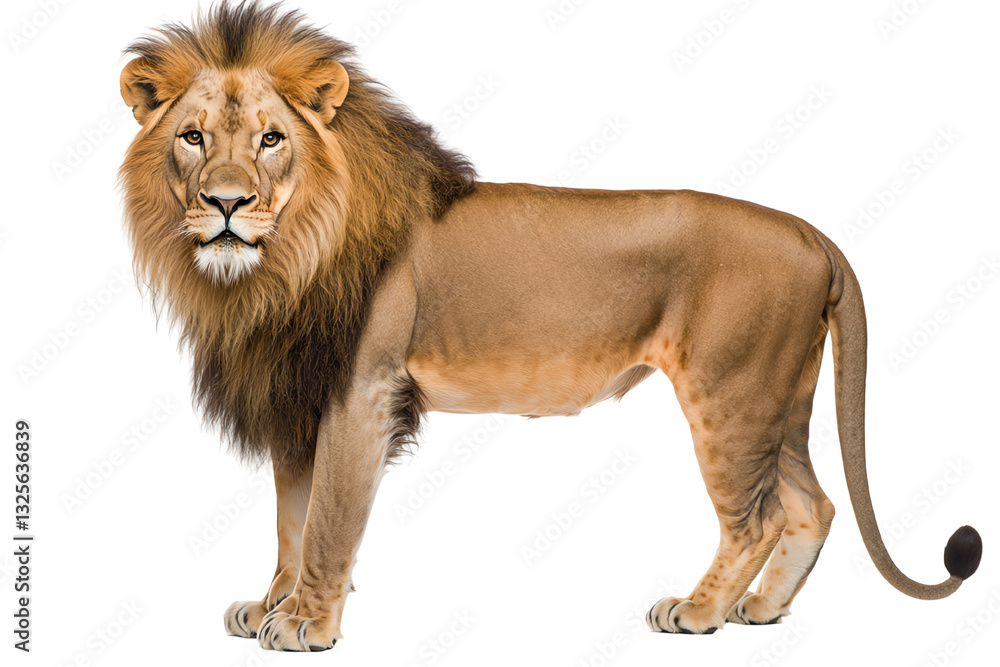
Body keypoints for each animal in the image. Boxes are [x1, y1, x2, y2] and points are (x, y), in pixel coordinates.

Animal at [119, 1, 982, 652]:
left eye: (272, 139)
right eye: (193, 136)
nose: (226, 203)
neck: (278, 266)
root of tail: (811, 232)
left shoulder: (362, 389)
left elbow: (329, 516)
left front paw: (306, 623)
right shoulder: (297, 391)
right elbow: (290, 517)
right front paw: (273, 602)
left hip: (731, 395)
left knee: (760, 514)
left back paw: (698, 612)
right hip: (780, 398)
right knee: (813, 503)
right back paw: (763, 611)